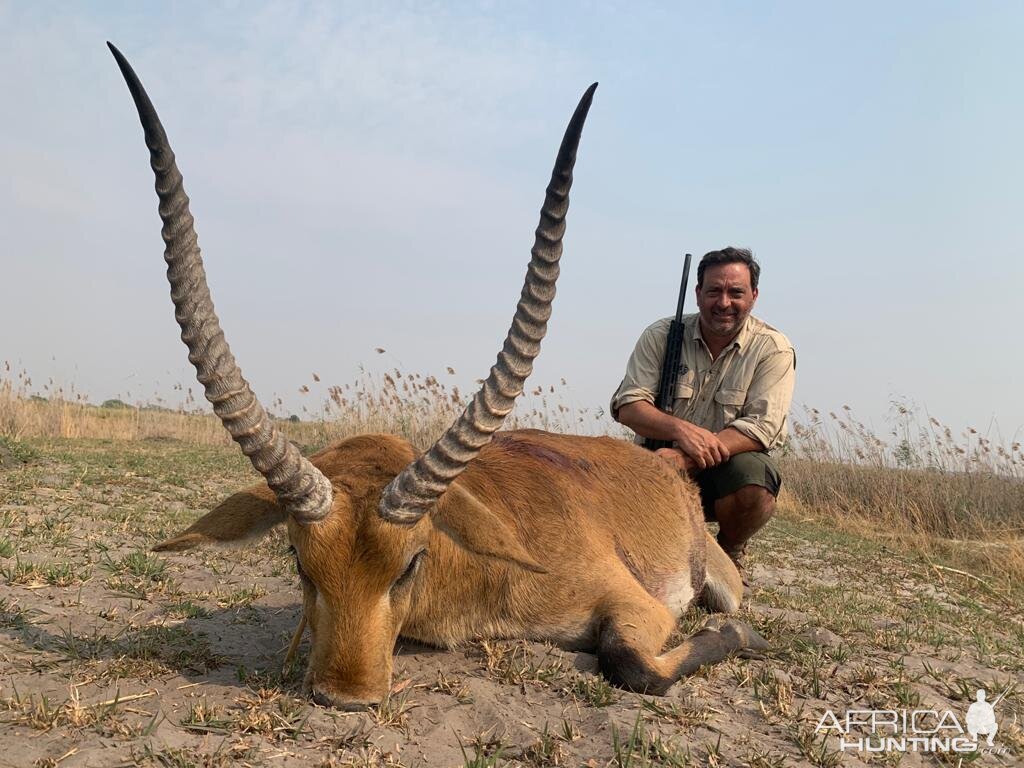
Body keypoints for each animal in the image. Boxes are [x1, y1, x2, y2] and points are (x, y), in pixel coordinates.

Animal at [110, 43, 770, 708]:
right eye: (298, 560)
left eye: (411, 561)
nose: (346, 696)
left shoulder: (640, 609)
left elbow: (630, 662)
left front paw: (739, 638)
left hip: (721, 578)